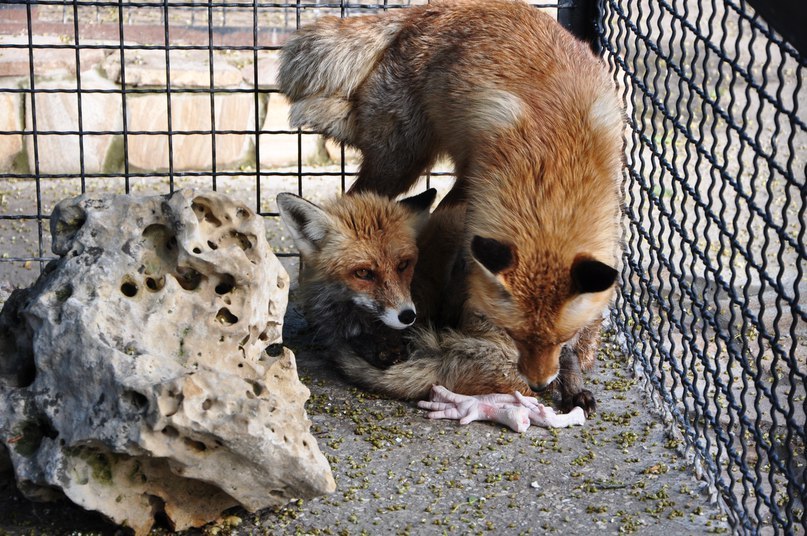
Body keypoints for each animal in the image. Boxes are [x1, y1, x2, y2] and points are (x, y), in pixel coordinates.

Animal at [280, 0, 628, 414]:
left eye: (562, 338)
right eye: (514, 334)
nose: (540, 385)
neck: (556, 176)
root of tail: (429, 10)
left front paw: (573, 384)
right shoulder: (477, 208)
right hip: (400, 162)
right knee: (357, 203)